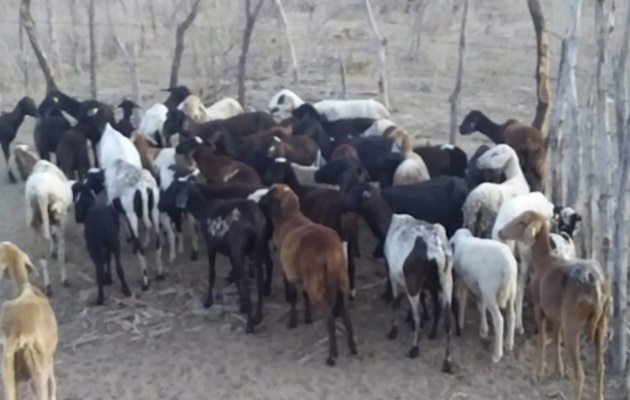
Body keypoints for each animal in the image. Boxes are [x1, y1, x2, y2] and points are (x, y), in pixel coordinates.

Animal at [340, 182, 454, 372]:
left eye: (355, 193)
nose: (341, 203)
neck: (388, 224)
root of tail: (436, 250)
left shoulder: (393, 273)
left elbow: (395, 301)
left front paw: (394, 330)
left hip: (415, 281)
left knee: (418, 315)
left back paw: (414, 348)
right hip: (446, 281)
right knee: (447, 321)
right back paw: (447, 361)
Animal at [454, 228, 520, 362]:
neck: (463, 238)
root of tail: (508, 267)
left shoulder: (463, 281)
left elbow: (463, 301)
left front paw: (460, 323)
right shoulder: (480, 287)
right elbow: (481, 306)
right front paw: (483, 329)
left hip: (490, 291)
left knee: (499, 320)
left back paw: (497, 354)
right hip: (511, 290)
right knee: (511, 316)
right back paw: (508, 343)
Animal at [498, 209, 612, 400]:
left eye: (522, 222)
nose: (500, 232)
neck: (544, 259)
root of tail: (595, 285)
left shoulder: (539, 307)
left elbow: (543, 340)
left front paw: (538, 373)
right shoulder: (557, 312)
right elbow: (557, 339)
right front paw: (558, 369)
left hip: (573, 324)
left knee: (580, 375)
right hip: (601, 323)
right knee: (600, 368)